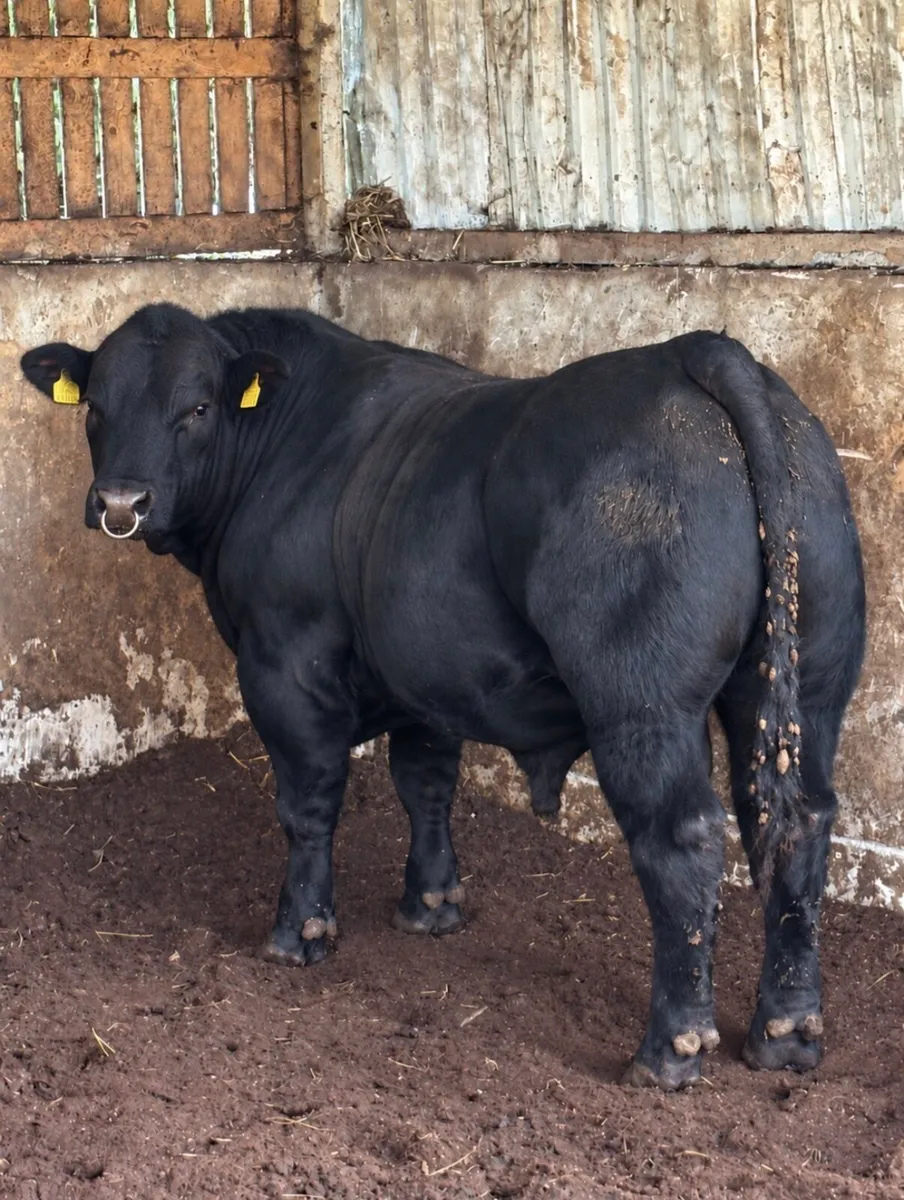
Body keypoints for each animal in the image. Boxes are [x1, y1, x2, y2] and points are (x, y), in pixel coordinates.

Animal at [21, 304, 865, 1091]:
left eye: (197, 407)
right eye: (95, 405)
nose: (121, 502)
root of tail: (695, 350)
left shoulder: (284, 662)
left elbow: (308, 804)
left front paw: (300, 933)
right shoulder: (425, 672)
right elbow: (425, 783)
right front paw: (430, 905)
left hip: (644, 703)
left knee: (683, 839)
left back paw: (671, 1048)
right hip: (808, 689)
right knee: (798, 822)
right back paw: (787, 1031)